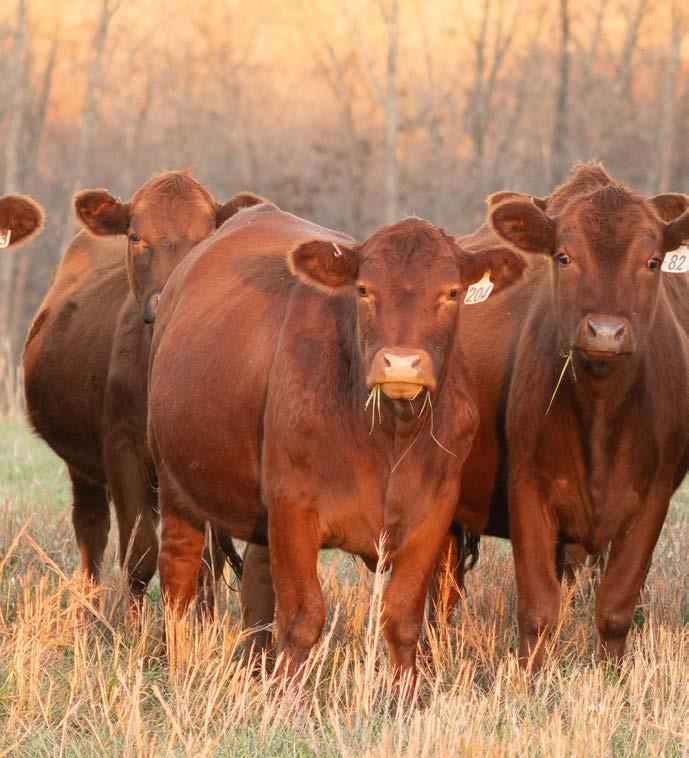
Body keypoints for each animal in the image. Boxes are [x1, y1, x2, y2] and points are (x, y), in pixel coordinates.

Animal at [23, 170, 261, 599]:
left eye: (208, 236)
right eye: (136, 237)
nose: (167, 298)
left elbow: (207, 562)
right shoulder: (122, 450)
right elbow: (140, 555)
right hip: (83, 467)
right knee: (91, 530)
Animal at [147, 200, 526, 681]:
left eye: (452, 293)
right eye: (363, 290)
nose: (401, 363)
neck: (390, 438)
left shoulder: (434, 512)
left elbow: (403, 618)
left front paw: (406, 694)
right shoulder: (293, 506)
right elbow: (303, 617)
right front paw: (286, 697)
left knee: (257, 583)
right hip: (175, 482)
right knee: (178, 574)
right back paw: (177, 664)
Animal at [449, 162, 689, 669]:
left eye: (653, 261)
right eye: (563, 257)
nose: (605, 331)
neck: (600, 412)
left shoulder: (653, 498)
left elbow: (617, 606)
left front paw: (613, 674)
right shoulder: (528, 489)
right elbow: (539, 608)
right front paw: (530, 676)